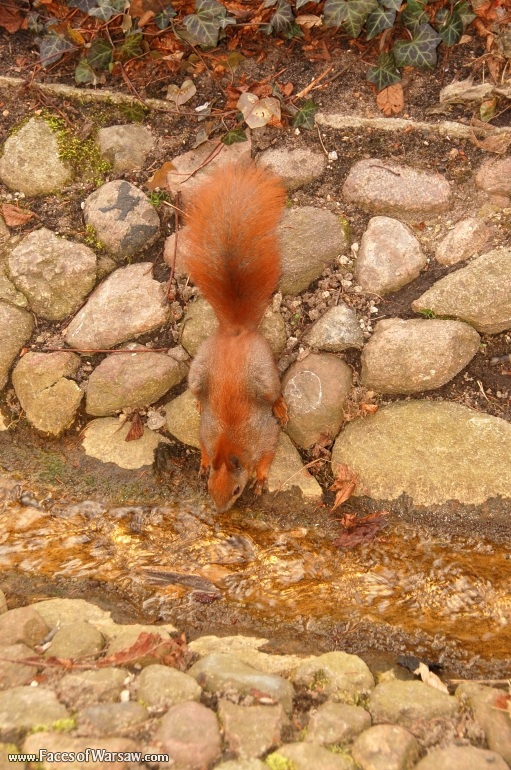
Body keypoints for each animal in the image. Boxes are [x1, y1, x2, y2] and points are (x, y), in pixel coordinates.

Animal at [185, 160, 288, 512]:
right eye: (210, 489)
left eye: (236, 491)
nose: (219, 511)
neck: (228, 443)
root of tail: (236, 333)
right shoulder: (207, 432)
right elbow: (203, 446)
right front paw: (203, 463)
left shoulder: (264, 434)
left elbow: (269, 451)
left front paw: (261, 477)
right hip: (197, 371)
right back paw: (198, 402)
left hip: (265, 375)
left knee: (274, 391)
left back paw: (281, 406)